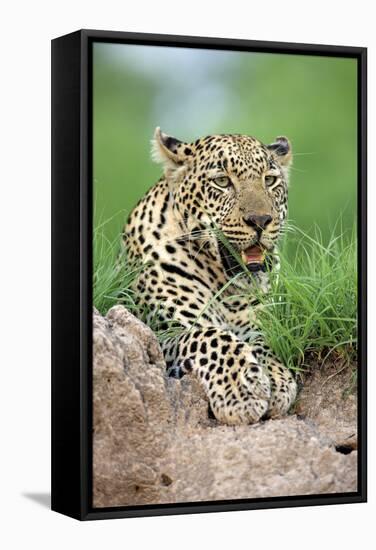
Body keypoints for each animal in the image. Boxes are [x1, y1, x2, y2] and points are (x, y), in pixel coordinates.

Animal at [123, 129, 296, 426]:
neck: (230, 292)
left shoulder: (259, 322)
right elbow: (211, 337)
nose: (261, 220)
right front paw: (241, 390)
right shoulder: (162, 332)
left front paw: (276, 377)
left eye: (270, 180)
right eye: (222, 181)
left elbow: (266, 341)